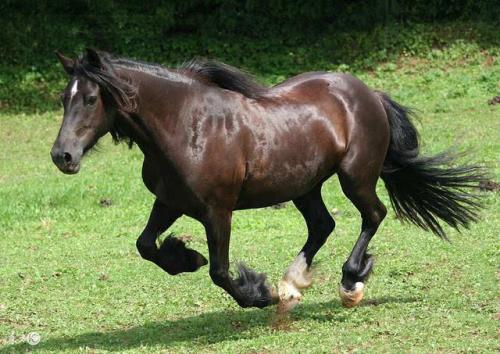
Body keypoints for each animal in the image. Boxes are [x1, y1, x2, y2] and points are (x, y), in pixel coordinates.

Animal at [51, 49, 484, 310]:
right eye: (63, 98)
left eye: (90, 98)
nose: (62, 156)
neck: (187, 126)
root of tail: (368, 93)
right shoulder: (170, 201)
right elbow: (145, 245)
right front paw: (185, 257)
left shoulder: (217, 210)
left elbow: (220, 271)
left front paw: (259, 293)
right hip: (304, 186)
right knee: (323, 225)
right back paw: (293, 282)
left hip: (355, 177)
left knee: (373, 215)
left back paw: (349, 283)